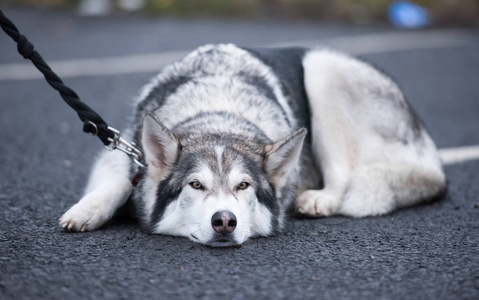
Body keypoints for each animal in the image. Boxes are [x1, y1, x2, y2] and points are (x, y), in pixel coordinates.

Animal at [59, 44, 446, 246]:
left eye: (243, 186)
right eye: (195, 185)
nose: (224, 220)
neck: (219, 110)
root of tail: (433, 160)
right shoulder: (119, 153)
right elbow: (120, 183)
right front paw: (86, 211)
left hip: (322, 70)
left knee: (344, 177)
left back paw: (317, 199)